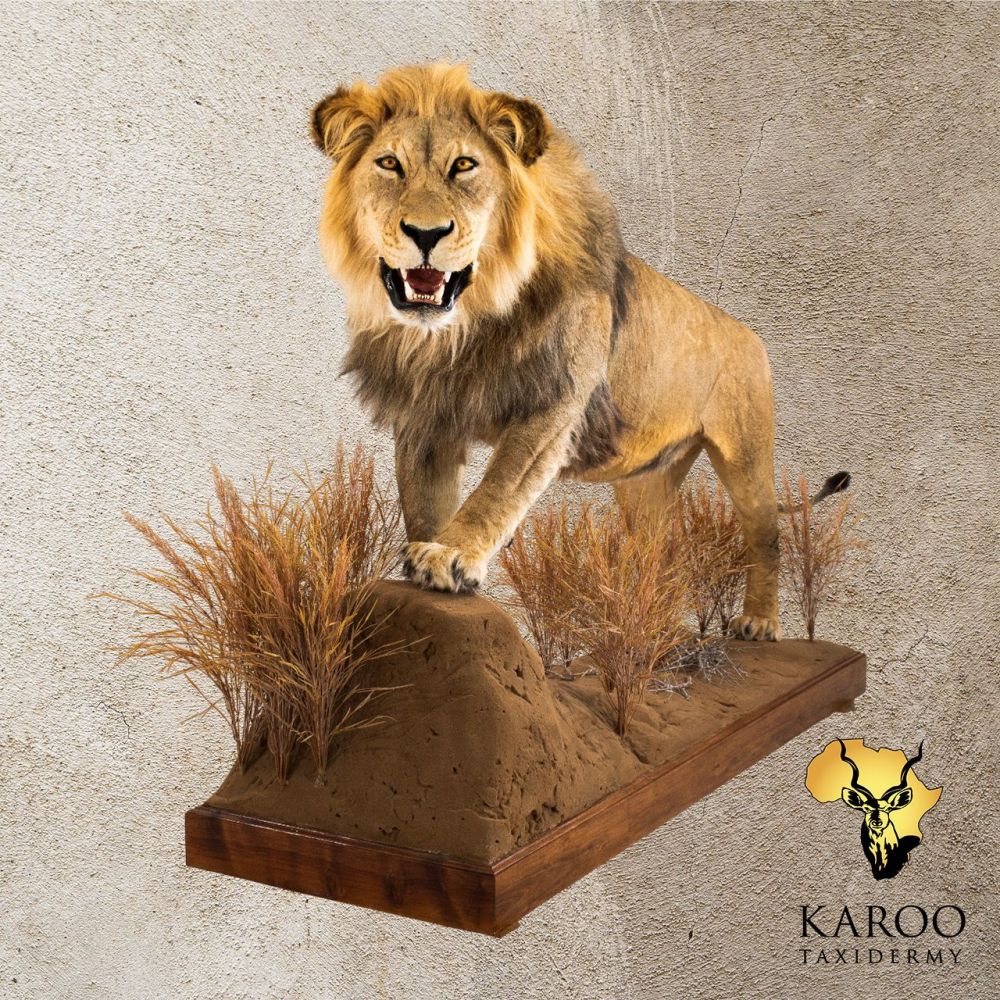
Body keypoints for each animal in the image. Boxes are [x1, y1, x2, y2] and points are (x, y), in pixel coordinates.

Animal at [310, 62, 845, 641]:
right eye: (390, 164)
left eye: (464, 166)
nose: (424, 234)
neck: (465, 327)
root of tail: (750, 332)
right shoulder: (425, 414)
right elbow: (424, 498)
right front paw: (428, 568)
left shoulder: (553, 403)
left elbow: (498, 487)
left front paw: (451, 556)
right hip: (645, 482)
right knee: (660, 549)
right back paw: (648, 625)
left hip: (745, 455)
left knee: (765, 535)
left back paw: (757, 622)